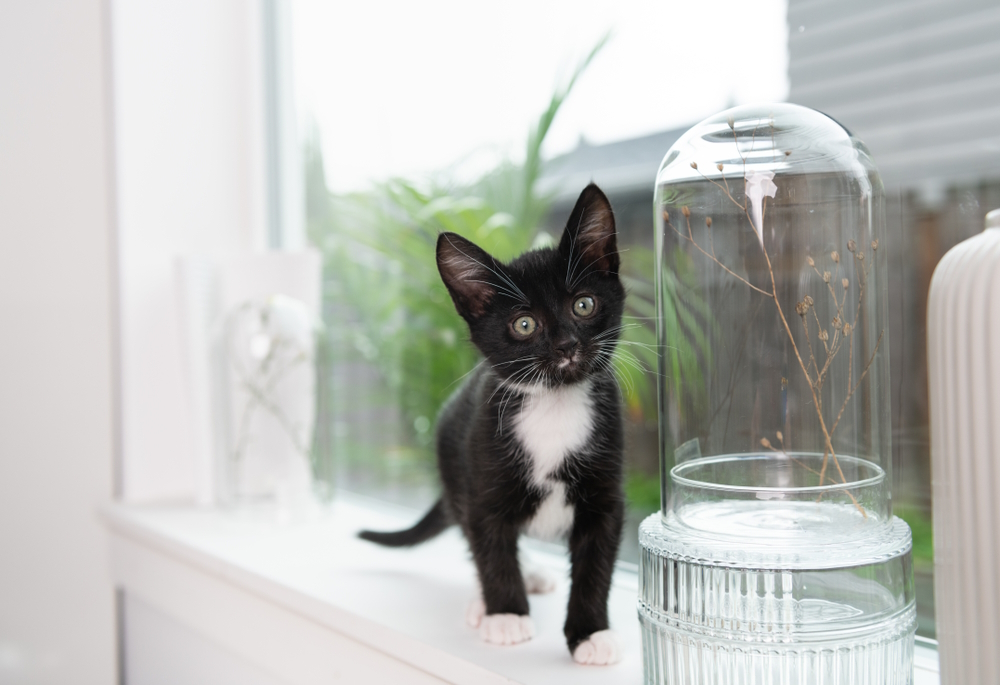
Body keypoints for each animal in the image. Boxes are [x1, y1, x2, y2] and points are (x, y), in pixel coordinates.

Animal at [360, 182, 624, 664]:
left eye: (584, 304)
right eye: (524, 324)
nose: (566, 345)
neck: (553, 406)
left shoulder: (606, 493)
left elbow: (596, 563)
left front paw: (591, 633)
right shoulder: (482, 475)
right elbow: (490, 547)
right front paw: (506, 614)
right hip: (453, 461)